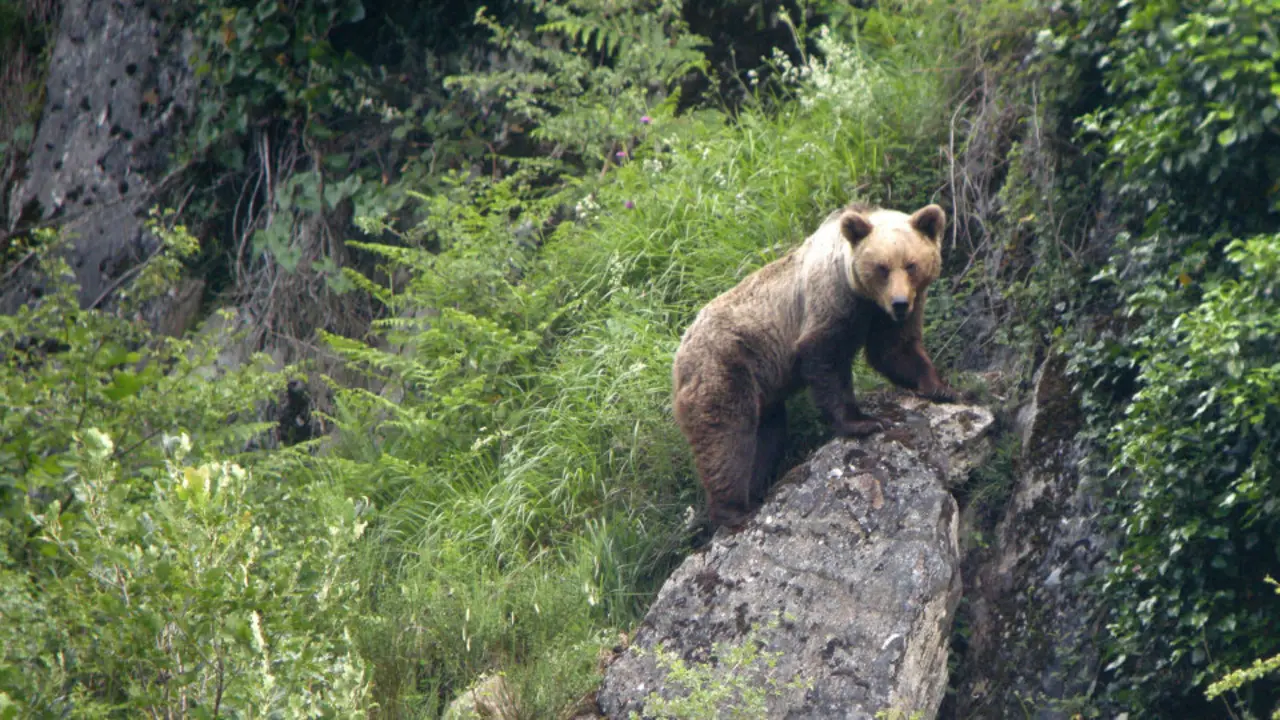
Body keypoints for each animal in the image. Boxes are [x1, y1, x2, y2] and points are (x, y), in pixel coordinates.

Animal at [672, 202, 957, 527]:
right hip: (726, 365)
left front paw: (941, 387)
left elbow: (894, 349)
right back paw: (734, 510)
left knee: (767, 435)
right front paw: (864, 422)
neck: (862, 295)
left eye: (911, 264)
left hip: (761, 387)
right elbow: (825, 360)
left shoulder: (887, 313)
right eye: (881, 268)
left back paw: (755, 490)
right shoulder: (830, 302)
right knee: (727, 437)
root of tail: (679, 353)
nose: (899, 303)